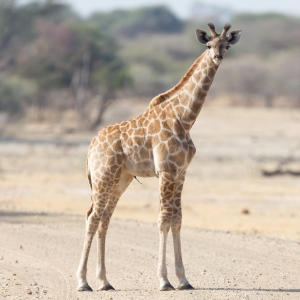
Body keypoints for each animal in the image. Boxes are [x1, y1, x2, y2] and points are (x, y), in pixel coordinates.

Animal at [77, 24, 241, 292]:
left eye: (226, 44)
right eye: (208, 45)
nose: (218, 56)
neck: (185, 118)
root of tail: (92, 145)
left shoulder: (181, 173)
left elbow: (177, 220)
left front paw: (183, 280)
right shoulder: (165, 171)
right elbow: (163, 220)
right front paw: (164, 281)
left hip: (121, 179)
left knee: (104, 219)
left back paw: (104, 281)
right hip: (103, 176)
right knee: (92, 217)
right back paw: (83, 282)